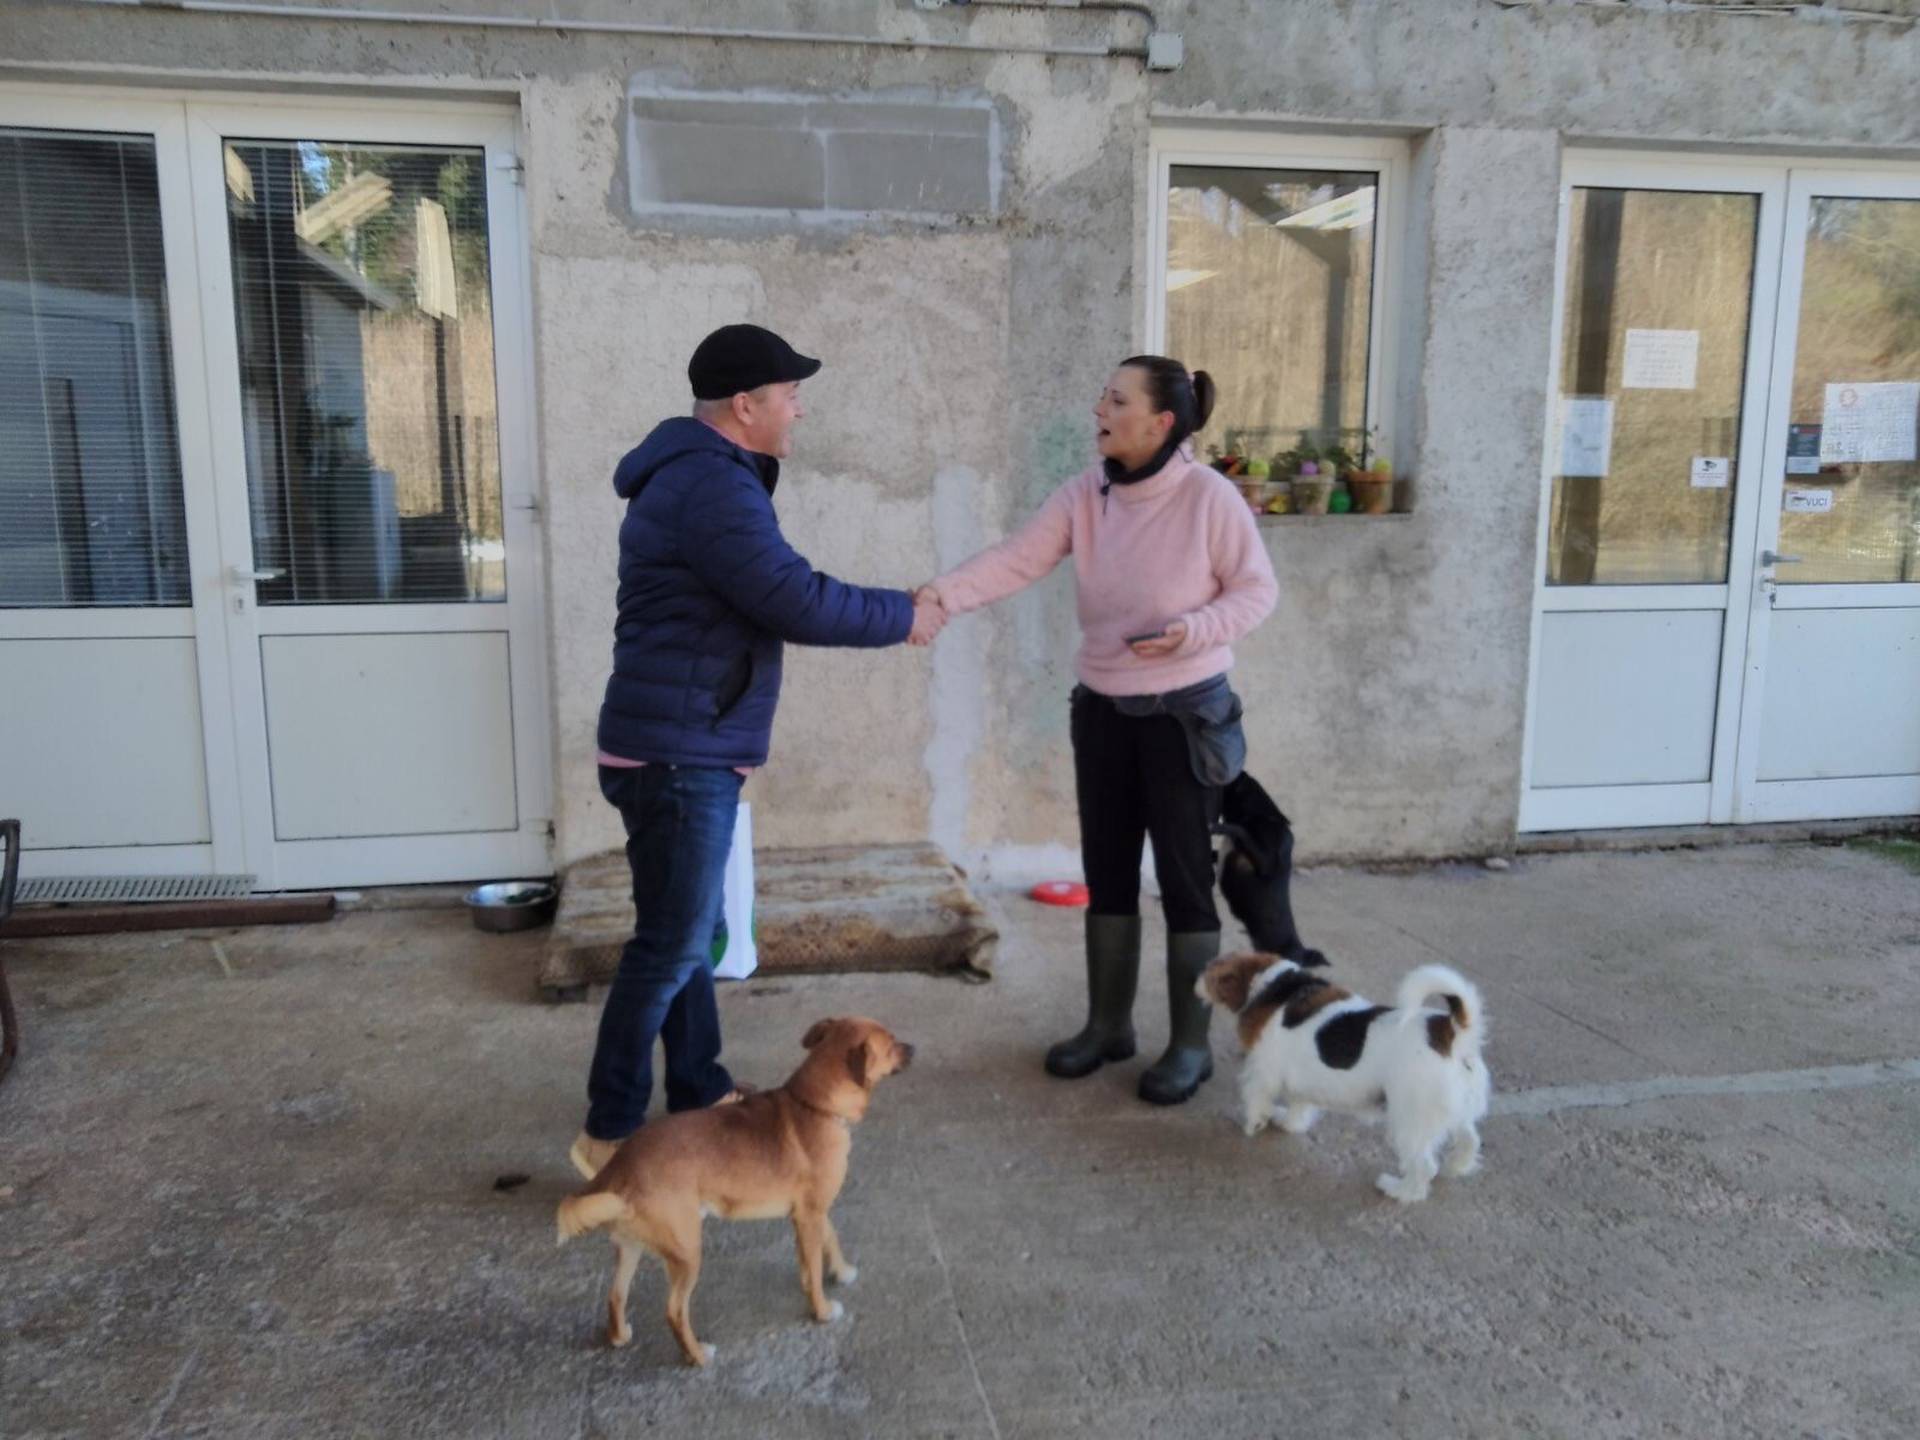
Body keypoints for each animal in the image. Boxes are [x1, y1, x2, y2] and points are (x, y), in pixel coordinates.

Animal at [555, 1016, 913, 1366]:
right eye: (891, 1043)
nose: (913, 1048)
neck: (815, 1105)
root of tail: (620, 1168)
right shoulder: (810, 1216)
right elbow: (813, 1268)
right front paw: (822, 1310)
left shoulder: (813, 1212)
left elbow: (830, 1239)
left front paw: (840, 1272)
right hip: (687, 1253)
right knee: (674, 1311)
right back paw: (698, 1355)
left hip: (631, 1247)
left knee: (615, 1295)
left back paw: (619, 1336)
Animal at [1199, 953, 1489, 1203]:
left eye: (1217, 971)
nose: (1197, 982)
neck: (1278, 987)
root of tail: (1452, 1032)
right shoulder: (1302, 1076)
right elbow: (1298, 1105)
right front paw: (1289, 1123)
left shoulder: (1263, 1072)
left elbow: (1257, 1102)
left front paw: (1252, 1126)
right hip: (1456, 1109)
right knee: (1470, 1138)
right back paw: (1458, 1166)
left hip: (1410, 1122)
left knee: (1425, 1166)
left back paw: (1400, 1190)